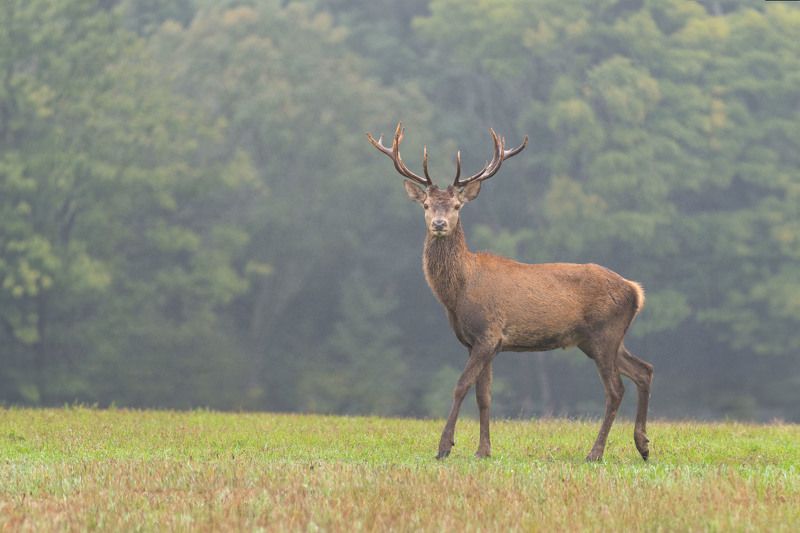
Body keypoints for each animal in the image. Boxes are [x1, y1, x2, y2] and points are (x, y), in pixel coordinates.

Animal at [367, 122, 654, 462]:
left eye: (456, 206)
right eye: (426, 205)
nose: (438, 223)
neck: (457, 293)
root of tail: (635, 291)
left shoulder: (488, 332)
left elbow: (461, 386)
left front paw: (444, 447)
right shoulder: (479, 342)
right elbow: (484, 396)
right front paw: (483, 450)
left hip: (604, 333)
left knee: (615, 389)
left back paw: (595, 453)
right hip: (599, 339)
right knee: (644, 370)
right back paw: (643, 445)